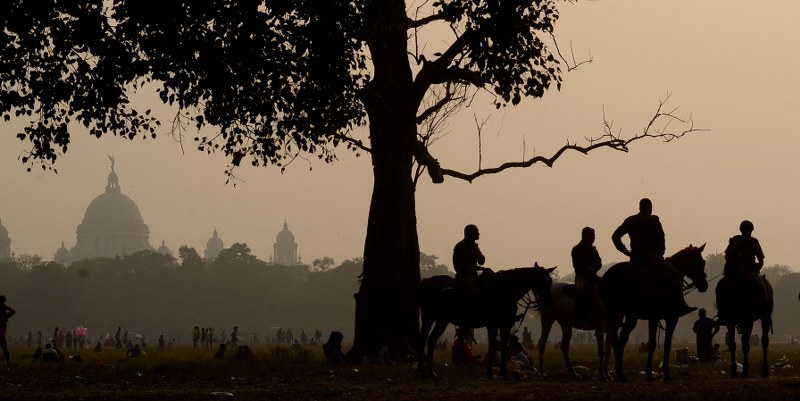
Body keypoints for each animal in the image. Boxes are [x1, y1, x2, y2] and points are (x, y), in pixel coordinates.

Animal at [416, 262, 552, 378]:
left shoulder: (500, 325)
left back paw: (427, 372)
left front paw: (498, 373)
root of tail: (425, 282)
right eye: (542, 281)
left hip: (435, 319)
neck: (504, 290)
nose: (548, 304)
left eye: (550, 281)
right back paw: (425, 372)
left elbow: (498, 346)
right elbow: (496, 346)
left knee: (428, 339)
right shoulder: (498, 324)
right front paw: (495, 373)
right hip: (435, 319)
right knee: (427, 339)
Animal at [600, 244, 708, 382]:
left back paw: (620, 373)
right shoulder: (666, 318)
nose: (704, 285)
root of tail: (608, 277)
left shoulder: (655, 318)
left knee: (620, 337)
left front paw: (653, 373)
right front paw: (660, 373)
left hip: (622, 313)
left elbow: (659, 343)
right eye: (701, 262)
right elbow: (661, 344)